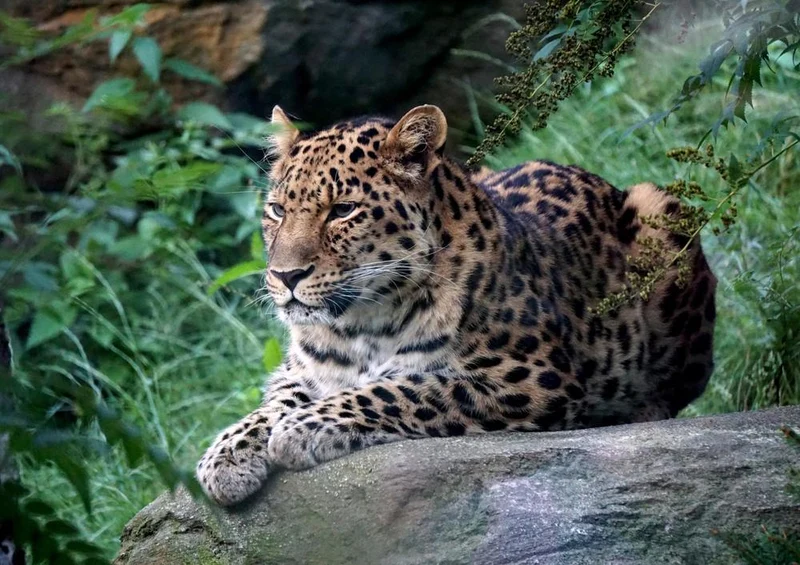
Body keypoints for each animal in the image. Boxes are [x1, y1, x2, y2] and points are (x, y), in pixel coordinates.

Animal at [196, 104, 716, 506]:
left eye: (343, 210)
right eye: (277, 210)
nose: (285, 276)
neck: (361, 322)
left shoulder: (532, 378)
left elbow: (405, 389)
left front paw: (303, 428)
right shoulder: (301, 371)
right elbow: (269, 406)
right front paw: (224, 456)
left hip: (659, 210)